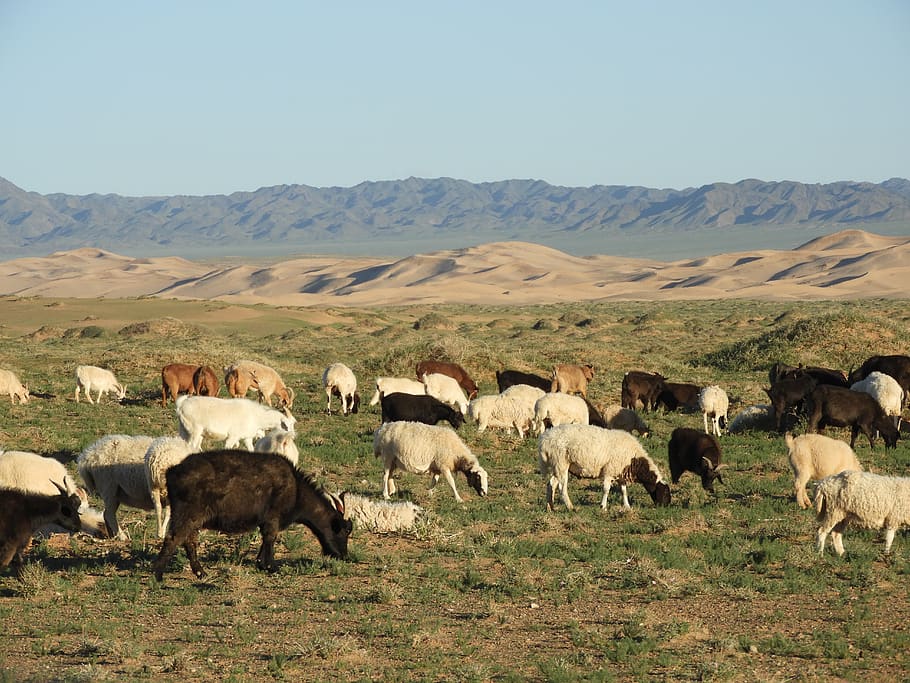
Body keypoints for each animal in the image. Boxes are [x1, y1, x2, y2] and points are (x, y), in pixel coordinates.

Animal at [152, 450, 351, 580]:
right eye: (344, 531)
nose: (344, 556)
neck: (296, 489)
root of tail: (172, 471)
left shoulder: (265, 522)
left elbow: (265, 540)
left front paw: (261, 563)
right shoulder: (273, 519)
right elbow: (270, 538)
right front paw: (271, 566)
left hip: (192, 520)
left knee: (189, 542)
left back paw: (201, 572)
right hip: (187, 516)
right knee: (173, 539)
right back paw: (158, 573)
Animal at [538, 424, 671, 511]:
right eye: (665, 493)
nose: (666, 506)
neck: (634, 460)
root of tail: (545, 438)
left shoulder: (620, 473)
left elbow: (623, 491)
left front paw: (627, 506)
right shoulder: (609, 471)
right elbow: (606, 489)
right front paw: (603, 506)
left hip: (557, 466)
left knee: (551, 484)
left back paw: (550, 507)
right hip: (561, 463)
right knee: (562, 487)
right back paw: (570, 507)